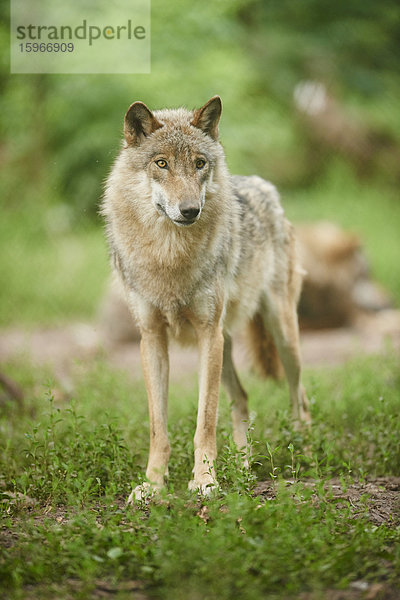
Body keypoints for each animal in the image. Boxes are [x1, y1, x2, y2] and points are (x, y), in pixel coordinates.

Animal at [101, 95, 310, 502]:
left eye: (199, 163)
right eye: (161, 163)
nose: (190, 211)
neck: (168, 256)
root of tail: (262, 184)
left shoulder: (207, 334)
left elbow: (205, 420)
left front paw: (205, 481)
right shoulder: (152, 338)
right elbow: (159, 427)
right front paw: (153, 485)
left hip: (280, 337)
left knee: (300, 395)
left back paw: (305, 454)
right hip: (225, 345)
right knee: (243, 399)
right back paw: (243, 468)